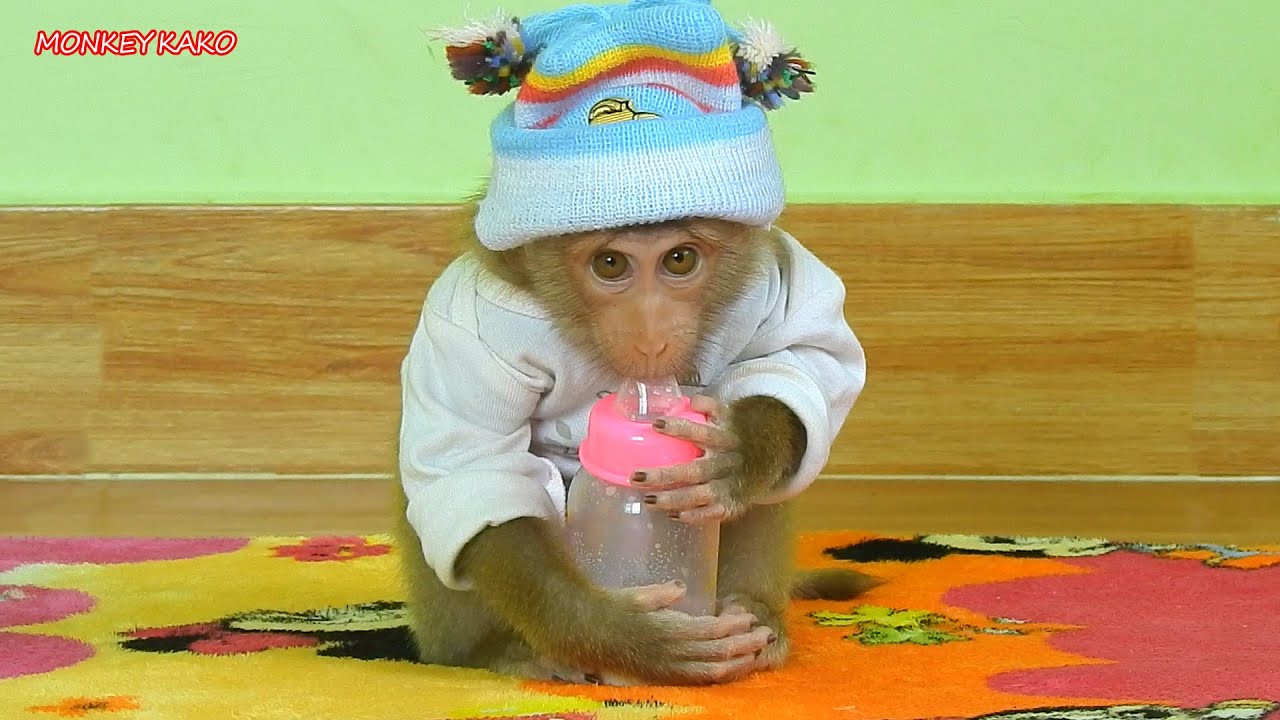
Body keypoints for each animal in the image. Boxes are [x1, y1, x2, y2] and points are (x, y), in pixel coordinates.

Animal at [391, 204, 877, 686]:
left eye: (680, 259)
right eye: (610, 264)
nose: (651, 340)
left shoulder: (767, 276)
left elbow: (808, 353)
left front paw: (740, 454)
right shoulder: (468, 330)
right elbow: (478, 468)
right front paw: (624, 636)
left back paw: (755, 613)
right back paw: (494, 652)